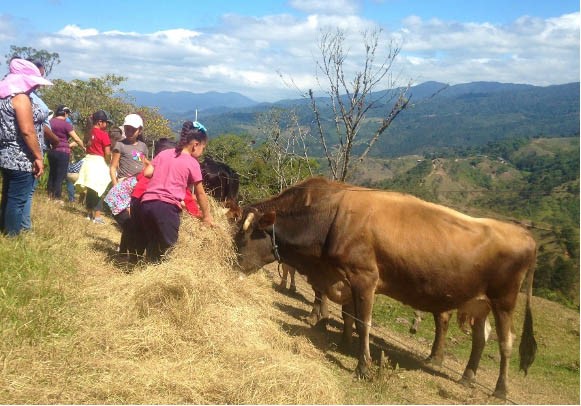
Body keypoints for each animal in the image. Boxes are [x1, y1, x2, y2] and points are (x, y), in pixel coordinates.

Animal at [233, 177, 536, 396]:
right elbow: (349, 316)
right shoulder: (344, 278)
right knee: (481, 337)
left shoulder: (364, 277)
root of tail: (524, 234)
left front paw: (363, 367)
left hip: (505, 300)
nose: (231, 265)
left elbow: (364, 322)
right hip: (480, 302)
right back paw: (467, 376)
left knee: (506, 342)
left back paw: (500, 389)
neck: (331, 220)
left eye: (244, 238)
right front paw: (346, 345)